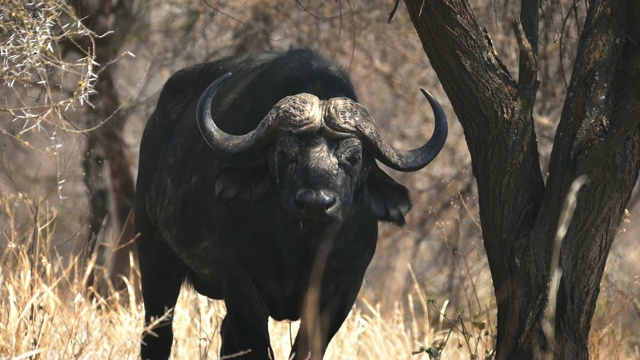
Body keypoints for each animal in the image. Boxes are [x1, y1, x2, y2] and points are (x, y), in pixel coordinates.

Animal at [134, 48, 444, 360]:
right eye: (284, 153)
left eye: (354, 158)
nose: (316, 203)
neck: (300, 246)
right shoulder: (240, 282)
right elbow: (255, 344)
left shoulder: (344, 289)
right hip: (154, 252)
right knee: (158, 332)